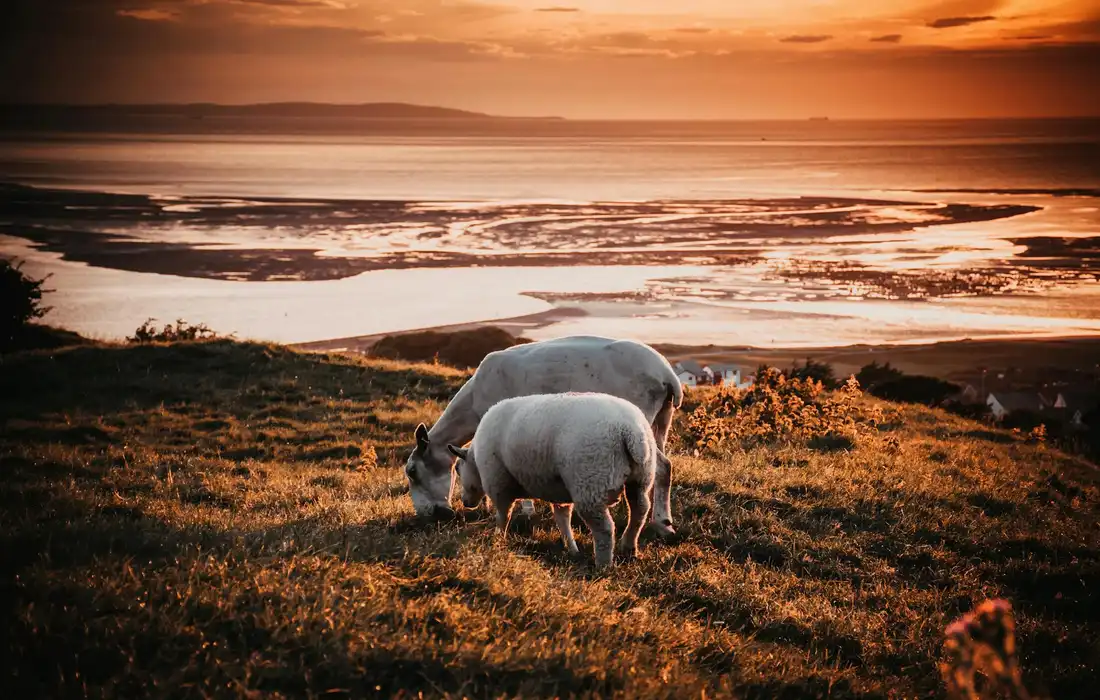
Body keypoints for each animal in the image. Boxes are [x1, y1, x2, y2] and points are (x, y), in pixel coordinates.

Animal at [403, 335, 682, 537]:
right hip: (660, 421)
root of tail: (667, 376)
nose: (428, 515)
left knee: (661, 467)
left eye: (413, 472)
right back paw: (664, 521)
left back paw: (662, 524)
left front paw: (524, 511)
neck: (471, 405)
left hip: (641, 421)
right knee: (666, 466)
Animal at [445, 392, 666, 569]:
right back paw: (629, 547)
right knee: (639, 510)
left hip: (590, 483)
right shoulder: (559, 490)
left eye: (458, 469)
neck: (476, 459)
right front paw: (571, 548)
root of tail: (629, 431)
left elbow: (503, 515)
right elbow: (562, 518)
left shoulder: (498, 483)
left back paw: (603, 565)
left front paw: (498, 539)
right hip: (641, 477)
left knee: (604, 528)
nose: (465, 502)